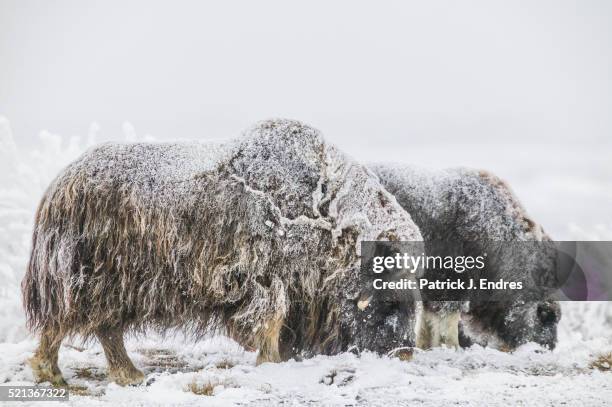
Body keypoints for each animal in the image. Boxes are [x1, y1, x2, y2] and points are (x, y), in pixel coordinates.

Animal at [25, 119, 426, 388]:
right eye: (389, 297)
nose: (404, 353)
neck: (329, 214)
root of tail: (57, 188)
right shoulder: (268, 280)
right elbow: (269, 322)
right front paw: (270, 362)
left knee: (97, 329)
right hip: (95, 282)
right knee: (77, 326)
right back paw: (75, 374)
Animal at [370, 164, 560, 352]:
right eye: (545, 314)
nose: (545, 348)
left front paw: (426, 347)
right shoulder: (449, 282)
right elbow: (447, 320)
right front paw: (452, 348)